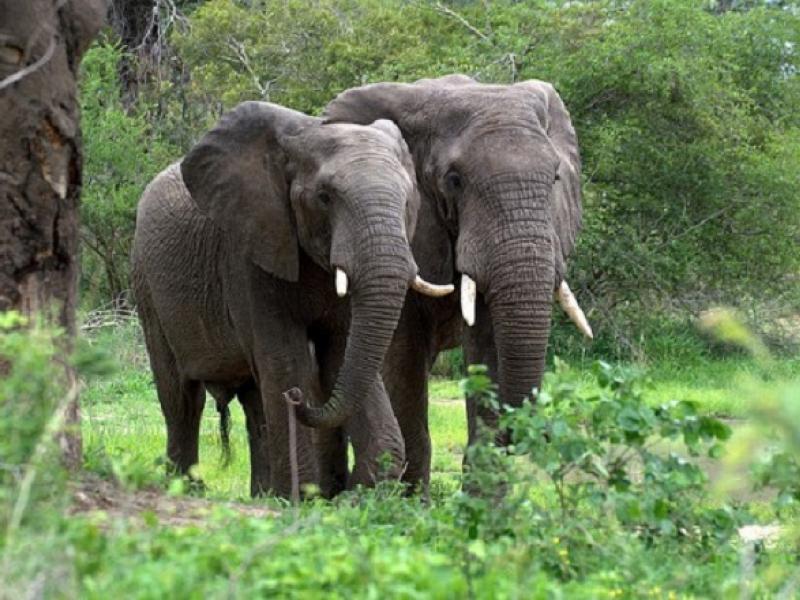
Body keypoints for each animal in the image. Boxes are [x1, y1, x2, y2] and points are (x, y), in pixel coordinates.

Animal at [134, 101, 454, 500]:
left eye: (408, 200)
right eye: (324, 197)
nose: (299, 398)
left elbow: (342, 356)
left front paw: (359, 494)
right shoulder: (248, 254)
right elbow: (285, 360)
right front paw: (302, 498)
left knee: (253, 401)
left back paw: (262, 495)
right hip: (148, 287)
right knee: (182, 398)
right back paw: (188, 489)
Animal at [306, 75, 592, 490]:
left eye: (555, 178)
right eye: (454, 180)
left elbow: (486, 344)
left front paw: (484, 496)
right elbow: (403, 355)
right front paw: (409, 501)